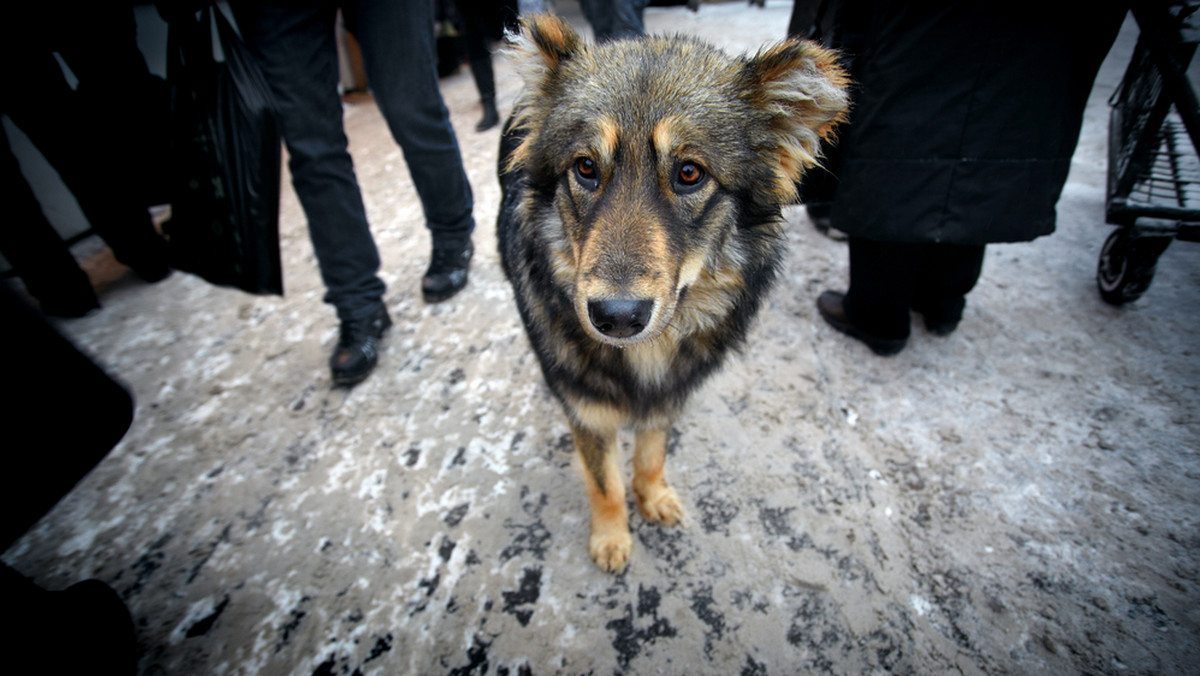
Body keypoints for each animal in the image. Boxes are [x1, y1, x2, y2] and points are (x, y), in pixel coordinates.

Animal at [492, 14, 849, 571]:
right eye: (585, 168)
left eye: (689, 173)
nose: (616, 316)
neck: (644, 357)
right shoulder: (589, 413)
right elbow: (605, 484)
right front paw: (611, 537)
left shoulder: (669, 394)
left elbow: (651, 454)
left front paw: (653, 495)